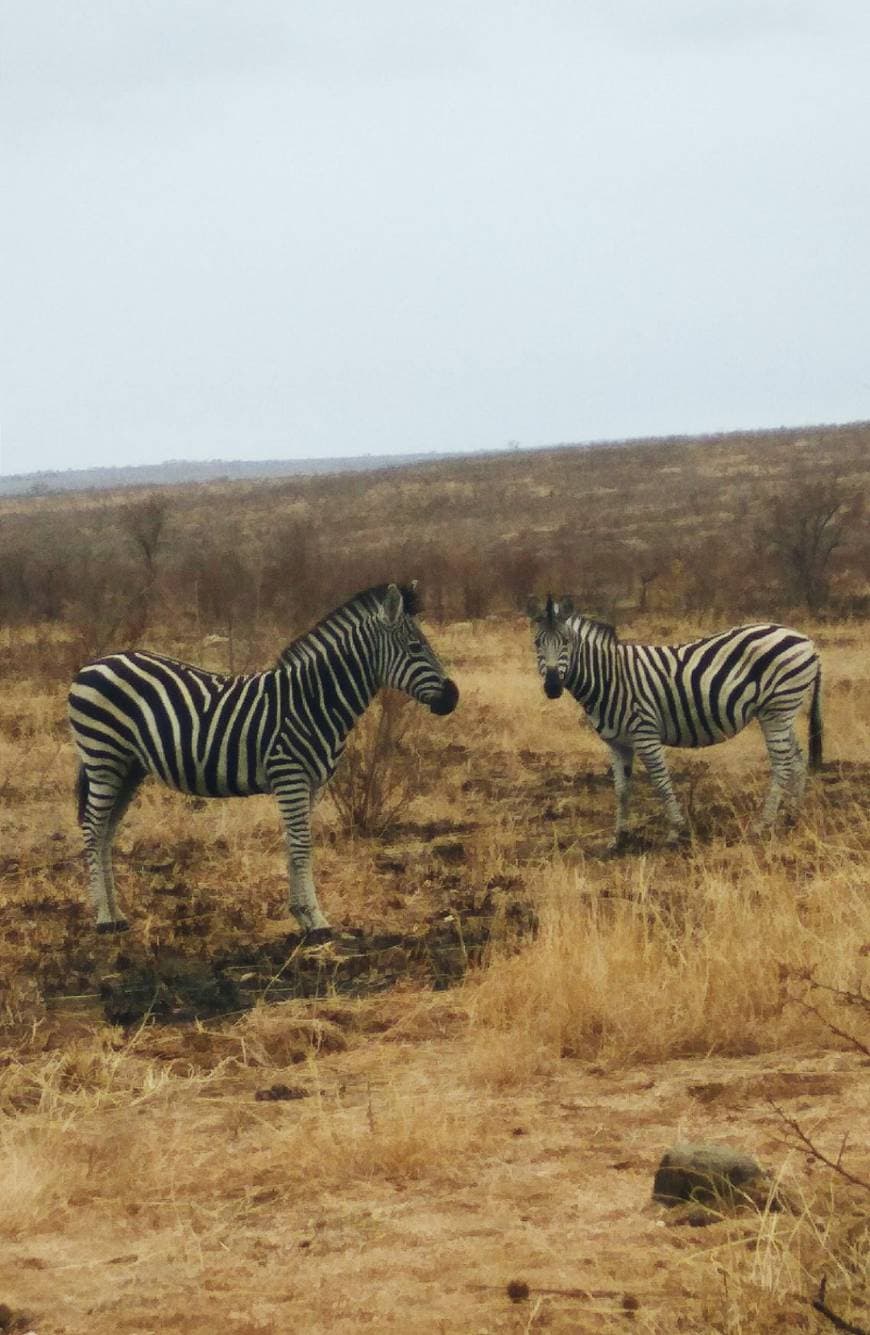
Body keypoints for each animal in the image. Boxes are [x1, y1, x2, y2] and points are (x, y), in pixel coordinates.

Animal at [69, 584, 456, 939]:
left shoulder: (310, 784)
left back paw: (117, 914)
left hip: (128, 768)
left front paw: (301, 916)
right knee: (93, 829)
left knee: (106, 832)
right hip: (104, 758)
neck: (315, 701)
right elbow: (302, 845)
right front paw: (317, 922)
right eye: (416, 648)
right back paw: (103, 918)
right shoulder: (290, 776)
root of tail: (94, 664)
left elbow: (294, 843)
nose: (453, 697)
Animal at [523, 595, 821, 843]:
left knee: (782, 764)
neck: (609, 677)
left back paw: (762, 825)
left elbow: (661, 782)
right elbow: (622, 789)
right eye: (537, 643)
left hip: (777, 709)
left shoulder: (645, 733)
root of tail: (806, 640)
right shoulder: (617, 742)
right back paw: (792, 816)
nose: (552, 687)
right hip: (781, 711)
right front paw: (619, 838)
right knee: (797, 758)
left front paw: (676, 831)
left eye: (566, 642)